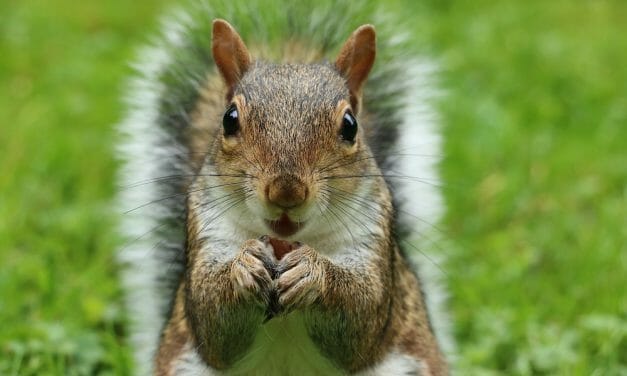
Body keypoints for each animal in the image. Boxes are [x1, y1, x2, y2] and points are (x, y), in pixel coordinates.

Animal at [116, 1, 452, 374]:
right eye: (229, 119)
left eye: (350, 125)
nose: (286, 192)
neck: (287, 242)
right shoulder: (207, 231)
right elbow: (211, 321)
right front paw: (244, 265)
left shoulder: (372, 241)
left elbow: (361, 318)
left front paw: (313, 272)